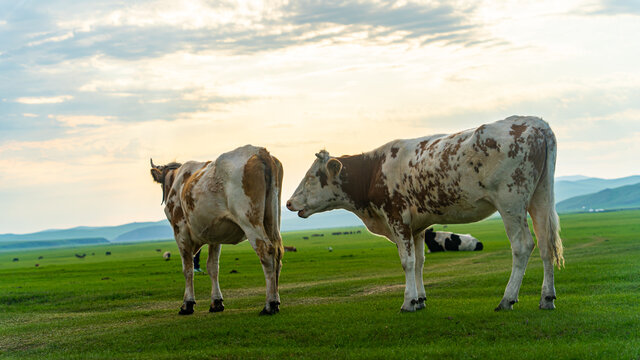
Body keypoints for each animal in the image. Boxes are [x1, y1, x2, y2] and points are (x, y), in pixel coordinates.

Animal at [151, 144, 284, 316]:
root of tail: (259, 151)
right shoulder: (214, 233)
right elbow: (213, 266)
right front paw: (216, 302)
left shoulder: (180, 230)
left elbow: (188, 268)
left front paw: (187, 304)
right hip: (272, 218)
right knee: (277, 253)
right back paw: (276, 300)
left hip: (249, 219)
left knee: (266, 251)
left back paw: (270, 304)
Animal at [288, 116, 564, 312]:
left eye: (311, 177)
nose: (289, 202)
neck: (374, 170)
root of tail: (534, 122)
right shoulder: (418, 227)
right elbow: (420, 262)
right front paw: (420, 299)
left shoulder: (397, 218)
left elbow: (407, 262)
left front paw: (408, 302)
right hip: (540, 198)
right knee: (545, 245)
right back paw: (547, 298)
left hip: (511, 201)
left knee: (523, 245)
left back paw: (507, 299)